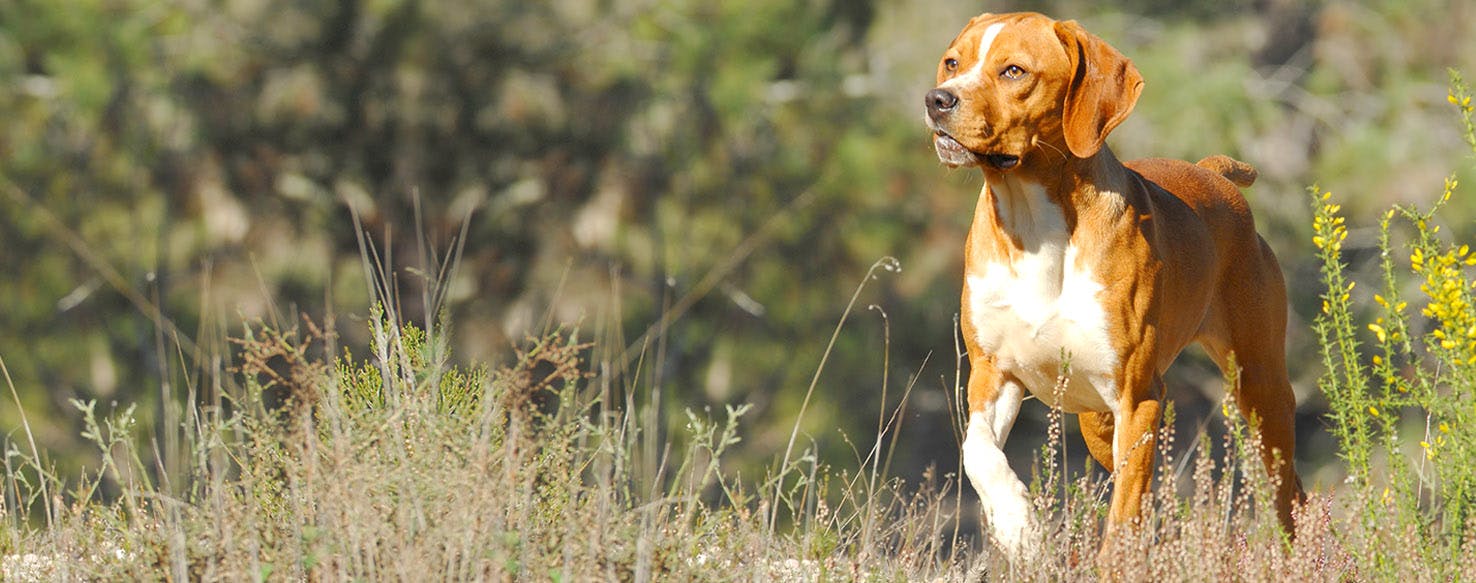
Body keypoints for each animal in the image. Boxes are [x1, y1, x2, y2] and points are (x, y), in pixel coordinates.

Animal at [926, 11, 1310, 554]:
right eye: (952, 63)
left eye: (1014, 71)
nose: (937, 100)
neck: (1034, 226)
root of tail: (1215, 175)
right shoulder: (991, 372)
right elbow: (976, 452)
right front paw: (1017, 526)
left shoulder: (1139, 396)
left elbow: (1124, 516)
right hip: (1097, 420)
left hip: (1258, 386)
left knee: (1285, 487)